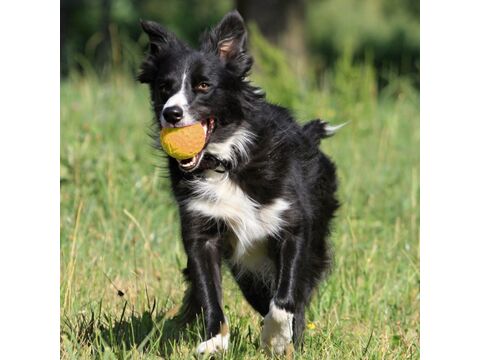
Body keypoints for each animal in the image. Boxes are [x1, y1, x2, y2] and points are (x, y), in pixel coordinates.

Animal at [138, 9, 342, 356]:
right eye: (164, 87)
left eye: (204, 85)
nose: (172, 114)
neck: (226, 161)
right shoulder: (202, 230)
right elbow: (209, 292)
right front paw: (214, 341)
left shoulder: (291, 227)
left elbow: (285, 299)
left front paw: (275, 338)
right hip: (249, 271)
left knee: (296, 295)